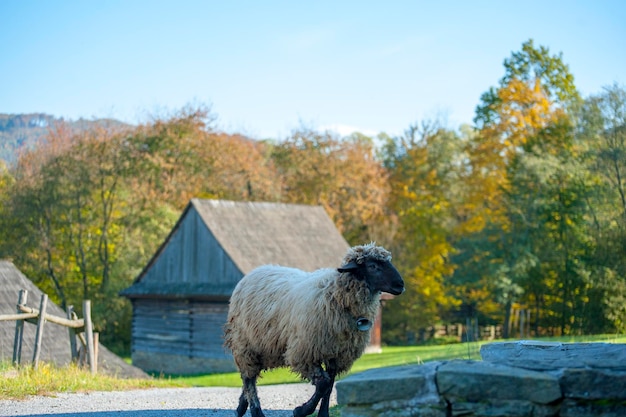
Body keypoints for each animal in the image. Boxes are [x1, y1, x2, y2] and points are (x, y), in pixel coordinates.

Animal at [224, 242, 404, 417]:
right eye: (373, 266)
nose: (400, 285)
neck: (336, 295)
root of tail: (254, 272)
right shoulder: (305, 352)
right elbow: (323, 384)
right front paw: (301, 410)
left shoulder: (337, 355)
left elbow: (329, 386)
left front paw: (322, 414)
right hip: (245, 344)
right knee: (249, 379)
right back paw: (256, 411)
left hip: (265, 348)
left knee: (249, 377)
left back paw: (241, 407)